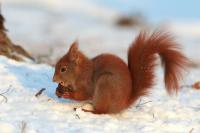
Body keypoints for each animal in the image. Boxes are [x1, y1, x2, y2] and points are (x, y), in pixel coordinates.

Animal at [52, 30, 188, 114]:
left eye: (63, 69)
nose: (53, 80)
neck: (81, 72)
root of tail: (123, 104)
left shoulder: (87, 83)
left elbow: (85, 94)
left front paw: (68, 95)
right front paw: (58, 90)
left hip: (105, 85)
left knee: (102, 111)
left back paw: (89, 111)